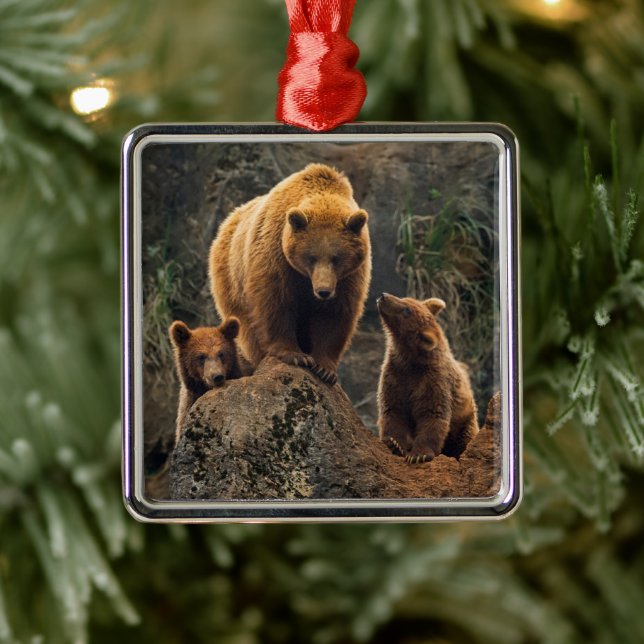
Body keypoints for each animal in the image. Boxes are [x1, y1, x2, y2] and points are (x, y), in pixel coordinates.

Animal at [209, 163, 371, 385]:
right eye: (311, 257)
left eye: (336, 258)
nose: (323, 291)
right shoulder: (276, 256)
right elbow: (276, 302)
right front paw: (296, 355)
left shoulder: (349, 277)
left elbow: (335, 314)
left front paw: (324, 368)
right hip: (231, 280)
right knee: (247, 327)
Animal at [376, 293, 479, 464]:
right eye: (406, 299)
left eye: (407, 310)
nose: (384, 296)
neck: (410, 360)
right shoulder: (395, 375)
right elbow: (393, 410)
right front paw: (394, 443)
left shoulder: (433, 381)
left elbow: (432, 415)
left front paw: (419, 455)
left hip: (465, 420)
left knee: (465, 440)